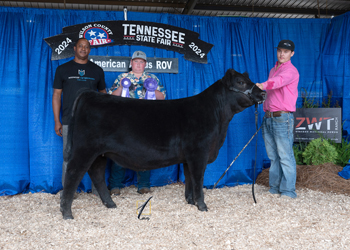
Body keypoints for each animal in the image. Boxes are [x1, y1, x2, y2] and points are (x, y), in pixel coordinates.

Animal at [60, 68, 266, 219]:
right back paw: (67, 212)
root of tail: (90, 94)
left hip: (100, 153)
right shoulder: (199, 152)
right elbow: (198, 178)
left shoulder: (188, 157)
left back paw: (110, 204)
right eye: (240, 82)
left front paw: (190, 201)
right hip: (84, 149)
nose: (263, 92)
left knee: (96, 174)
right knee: (72, 174)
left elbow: (189, 178)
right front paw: (202, 205)